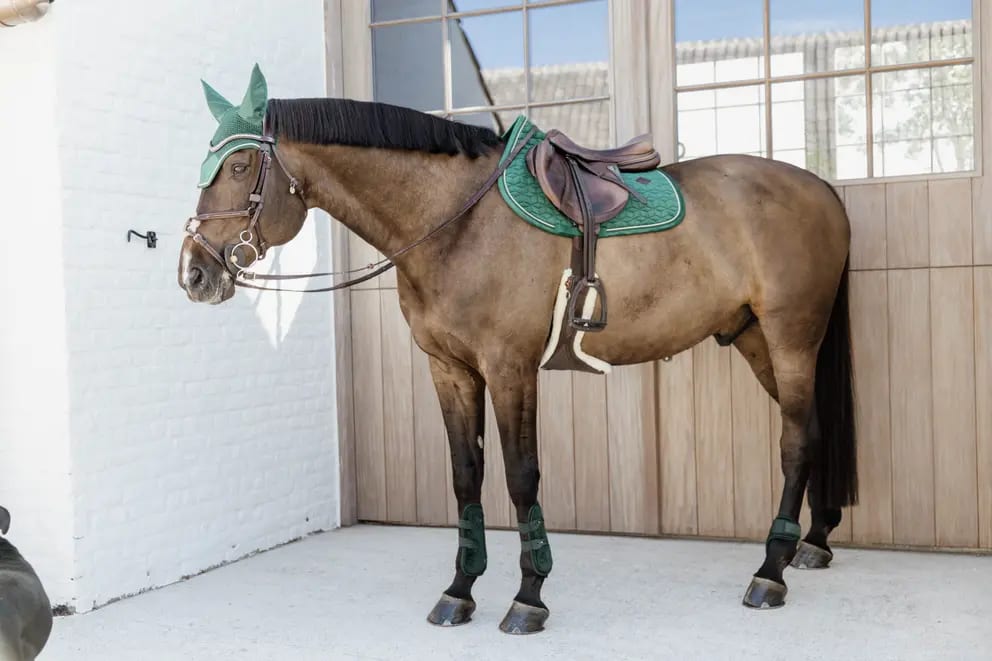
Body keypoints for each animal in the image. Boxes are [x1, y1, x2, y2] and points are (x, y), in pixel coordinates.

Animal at [178, 71, 857, 634]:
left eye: (239, 166)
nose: (194, 273)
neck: (457, 224)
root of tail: (821, 188)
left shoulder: (510, 369)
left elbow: (521, 475)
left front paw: (528, 597)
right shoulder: (449, 370)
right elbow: (466, 475)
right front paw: (460, 589)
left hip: (791, 337)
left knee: (795, 442)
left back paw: (769, 573)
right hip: (755, 340)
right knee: (815, 432)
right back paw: (812, 542)